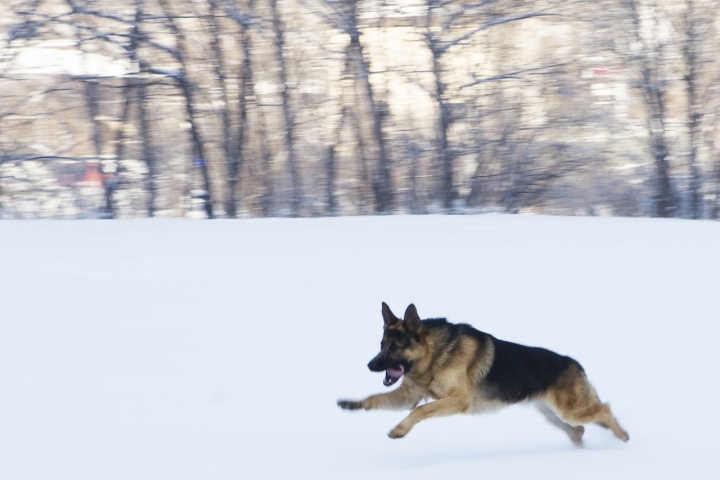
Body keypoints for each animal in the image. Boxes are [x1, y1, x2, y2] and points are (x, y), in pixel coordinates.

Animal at [334, 302, 628, 444]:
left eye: (395, 348)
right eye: (381, 345)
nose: (370, 365)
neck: (434, 355)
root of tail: (574, 363)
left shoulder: (457, 401)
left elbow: (420, 411)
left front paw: (399, 430)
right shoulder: (408, 396)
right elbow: (374, 398)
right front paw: (352, 404)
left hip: (572, 410)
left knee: (605, 410)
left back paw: (622, 436)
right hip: (553, 415)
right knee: (579, 430)